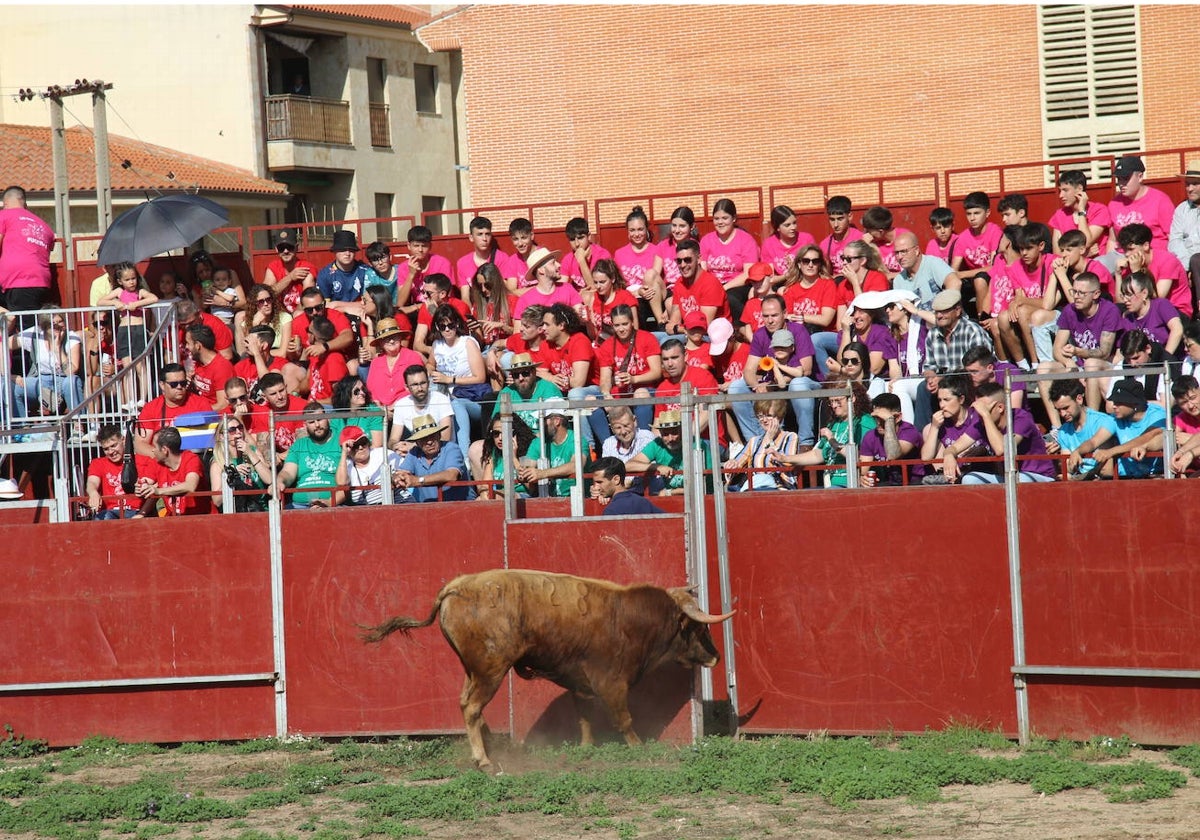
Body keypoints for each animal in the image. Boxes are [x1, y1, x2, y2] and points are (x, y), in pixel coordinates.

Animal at [357, 568, 729, 772]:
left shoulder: (582, 683)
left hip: (472, 669)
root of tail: (457, 587)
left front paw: (585, 747)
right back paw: (484, 760)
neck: (630, 618)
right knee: (472, 707)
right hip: (491, 670)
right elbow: (623, 719)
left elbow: (584, 716)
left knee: (466, 703)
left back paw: (490, 745)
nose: (715, 658)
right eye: (699, 628)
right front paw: (639, 748)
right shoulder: (612, 682)